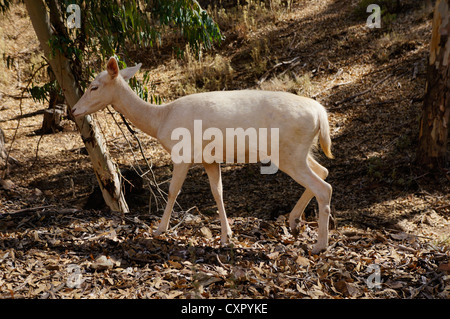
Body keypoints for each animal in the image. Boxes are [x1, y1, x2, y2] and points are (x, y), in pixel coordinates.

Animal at [73, 56, 334, 254]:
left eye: (94, 86)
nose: (73, 109)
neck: (160, 121)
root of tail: (320, 114)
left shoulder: (182, 153)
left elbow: (173, 191)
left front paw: (159, 229)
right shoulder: (210, 159)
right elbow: (218, 192)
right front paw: (226, 236)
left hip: (287, 151)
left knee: (323, 187)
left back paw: (319, 245)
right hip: (299, 150)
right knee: (323, 171)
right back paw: (294, 222)